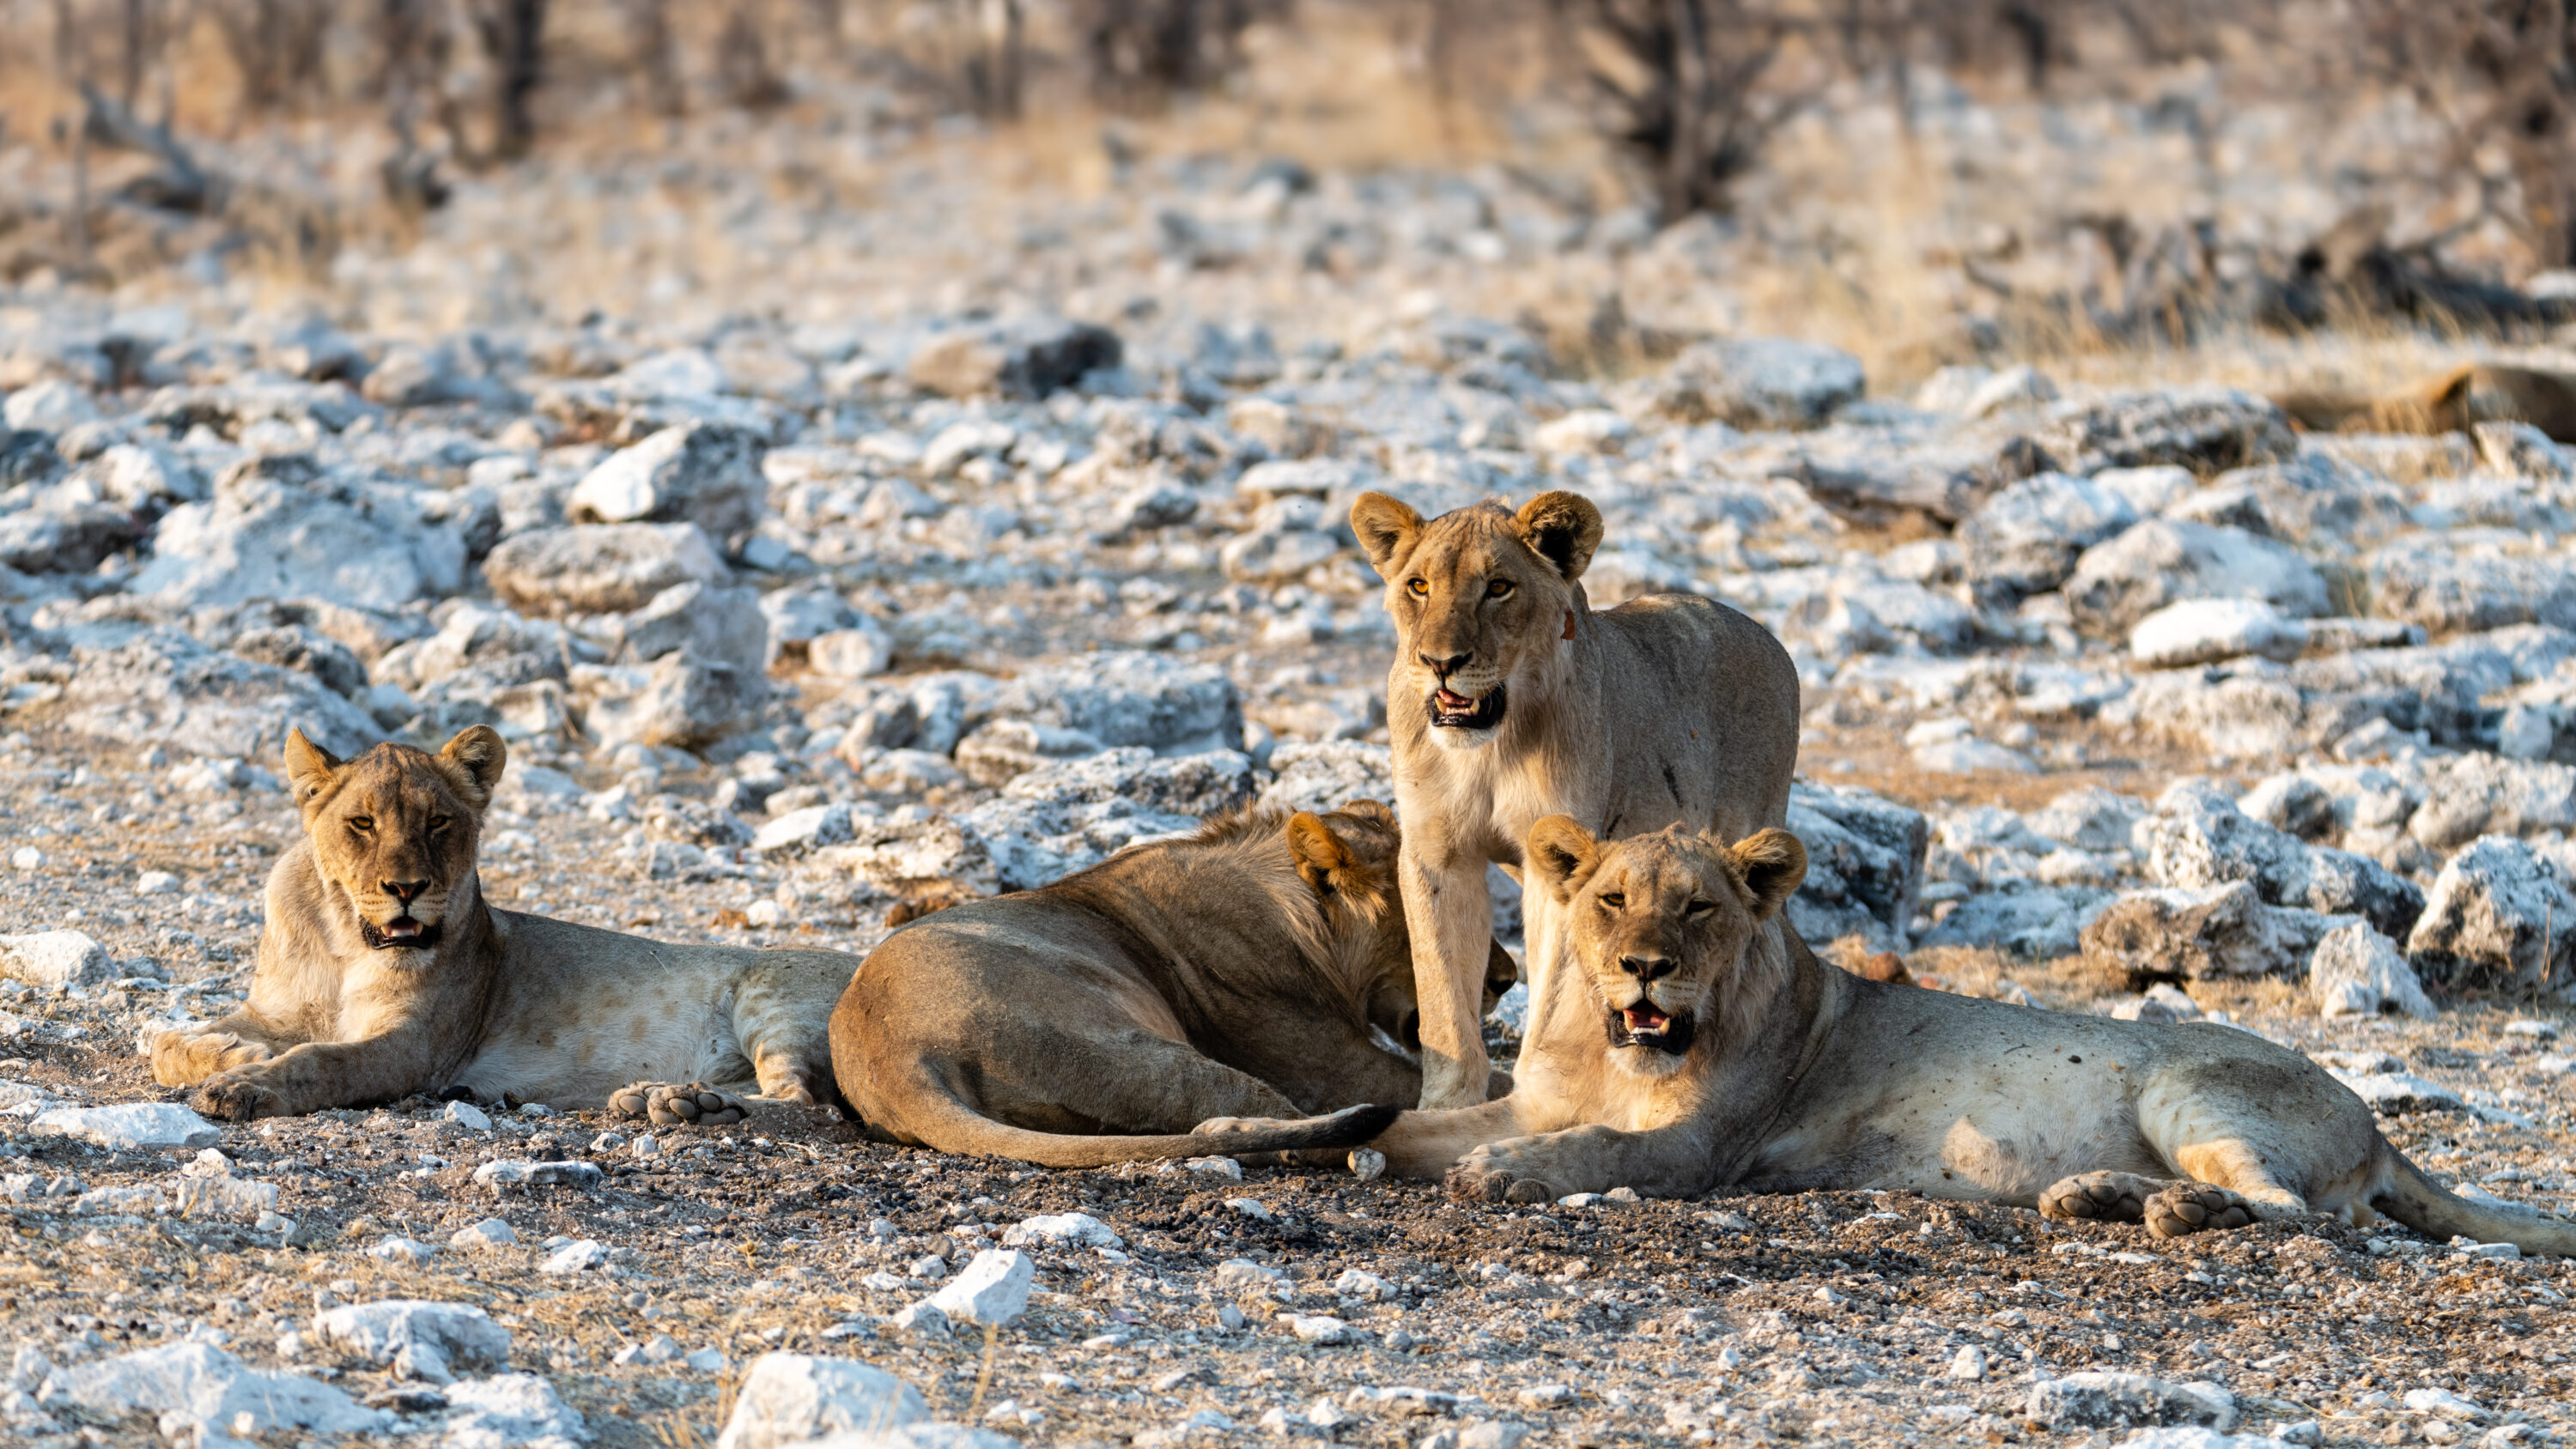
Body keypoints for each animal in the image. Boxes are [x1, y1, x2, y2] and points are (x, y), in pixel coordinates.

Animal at [145, 725, 852, 1123]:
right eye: (363, 823)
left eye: (438, 822)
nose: (406, 889)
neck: (344, 942)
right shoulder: (272, 1008)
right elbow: (165, 1041)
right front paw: (235, 1054)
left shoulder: (415, 1047)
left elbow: (320, 1060)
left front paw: (242, 1085)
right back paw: (667, 1100)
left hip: (772, 996)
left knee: (808, 1106)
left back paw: (691, 1107)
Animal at [1280, 817, 2576, 1255]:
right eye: (1611, 901)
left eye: (1696, 908)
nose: (1646, 964)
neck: (1618, 1045)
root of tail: (2373, 1119)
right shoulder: (1533, 1095)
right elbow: (1426, 1125)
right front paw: (1355, 1145)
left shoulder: (1704, 1150)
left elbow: (1595, 1150)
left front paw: (1506, 1176)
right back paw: (2096, 1196)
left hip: (2193, 1088)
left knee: (2295, 1211)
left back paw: (2162, 1206)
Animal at [1346, 489, 1802, 1110]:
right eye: (1418, 586)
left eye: (1498, 587)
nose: (1441, 662)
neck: (1488, 746)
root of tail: (1768, 636)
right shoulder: (1437, 855)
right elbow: (1444, 1005)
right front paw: (1445, 1107)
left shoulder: (1556, 872)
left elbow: (1550, 997)